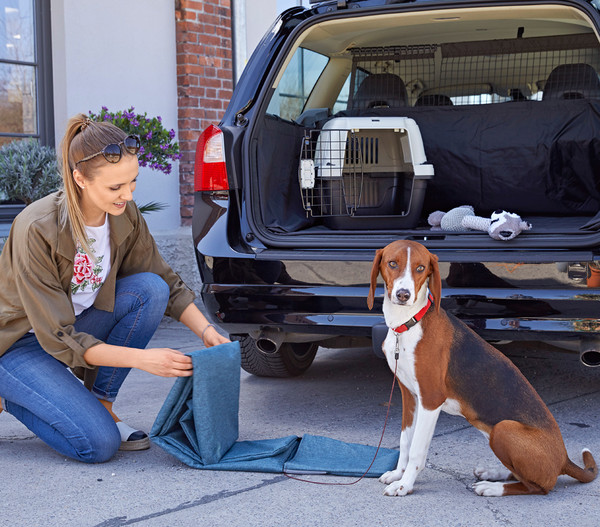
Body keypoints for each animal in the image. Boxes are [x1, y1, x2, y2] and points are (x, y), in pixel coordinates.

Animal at [366, 241, 596, 498]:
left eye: (421, 268)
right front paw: (398, 474)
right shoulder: (410, 396)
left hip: (504, 429)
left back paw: (492, 487)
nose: (403, 295)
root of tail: (564, 459)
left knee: (537, 487)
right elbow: (405, 441)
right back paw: (493, 473)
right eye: (392, 263)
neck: (407, 324)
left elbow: (416, 449)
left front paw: (405, 485)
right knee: (520, 475)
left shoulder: (431, 400)